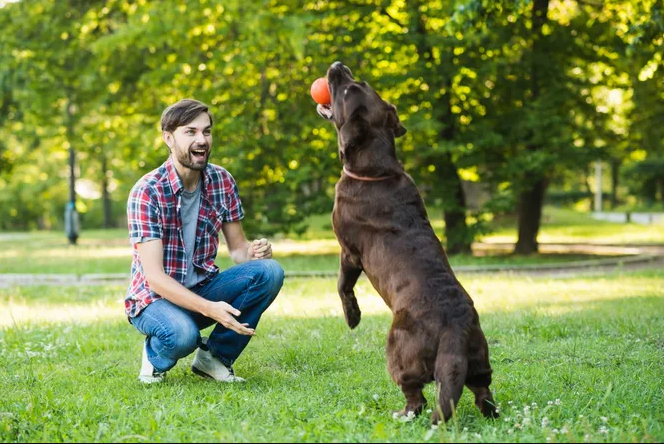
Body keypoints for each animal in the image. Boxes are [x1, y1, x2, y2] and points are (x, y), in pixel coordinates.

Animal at [318, 61, 498, 424]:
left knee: (417, 397)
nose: (338, 65)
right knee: (482, 390)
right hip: (479, 357)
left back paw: (401, 413)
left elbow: (343, 285)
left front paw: (352, 317)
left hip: (398, 349)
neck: (376, 171)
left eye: (347, 89)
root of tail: (455, 329)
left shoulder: (349, 252)